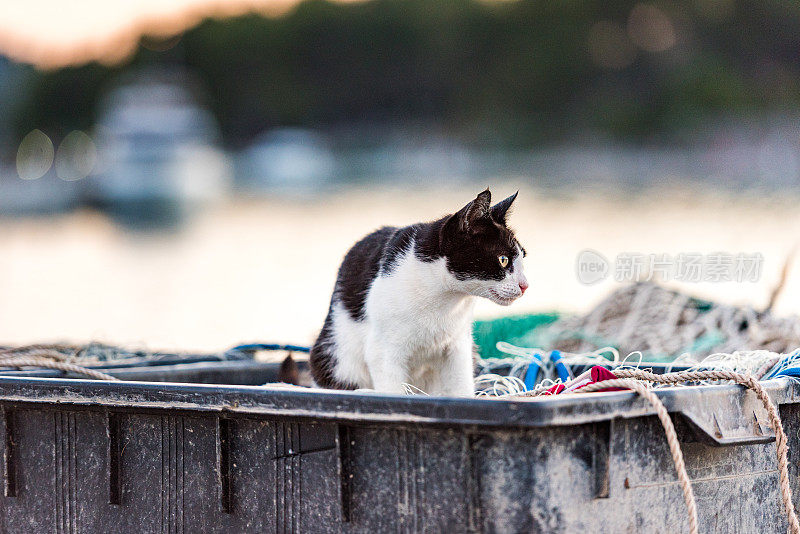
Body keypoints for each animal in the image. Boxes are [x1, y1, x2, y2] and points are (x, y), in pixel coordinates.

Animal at [310, 192, 528, 398]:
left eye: (522, 257)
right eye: (503, 260)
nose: (525, 285)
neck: (444, 298)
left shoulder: (459, 345)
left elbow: (461, 386)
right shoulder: (382, 350)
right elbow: (392, 392)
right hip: (337, 357)